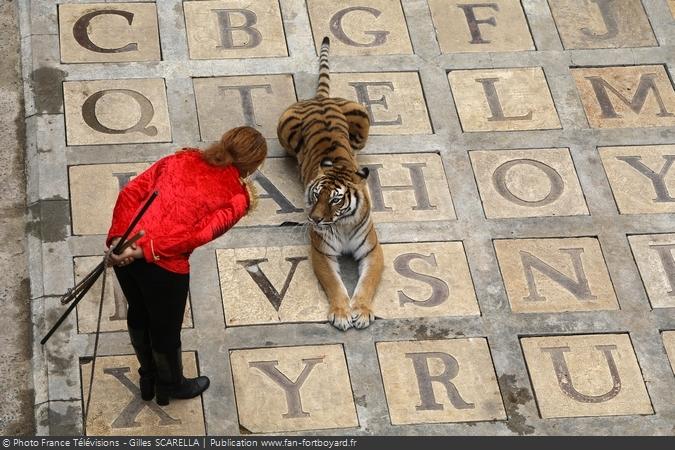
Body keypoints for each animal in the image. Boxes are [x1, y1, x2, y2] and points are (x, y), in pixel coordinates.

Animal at [276, 36, 382, 330]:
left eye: (335, 199)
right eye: (315, 195)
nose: (314, 219)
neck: (342, 223)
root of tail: (320, 99)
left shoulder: (372, 250)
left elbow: (367, 283)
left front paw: (362, 311)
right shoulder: (322, 252)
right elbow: (335, 285)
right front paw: (342, 312)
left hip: (363, 119)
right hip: (284, 129)